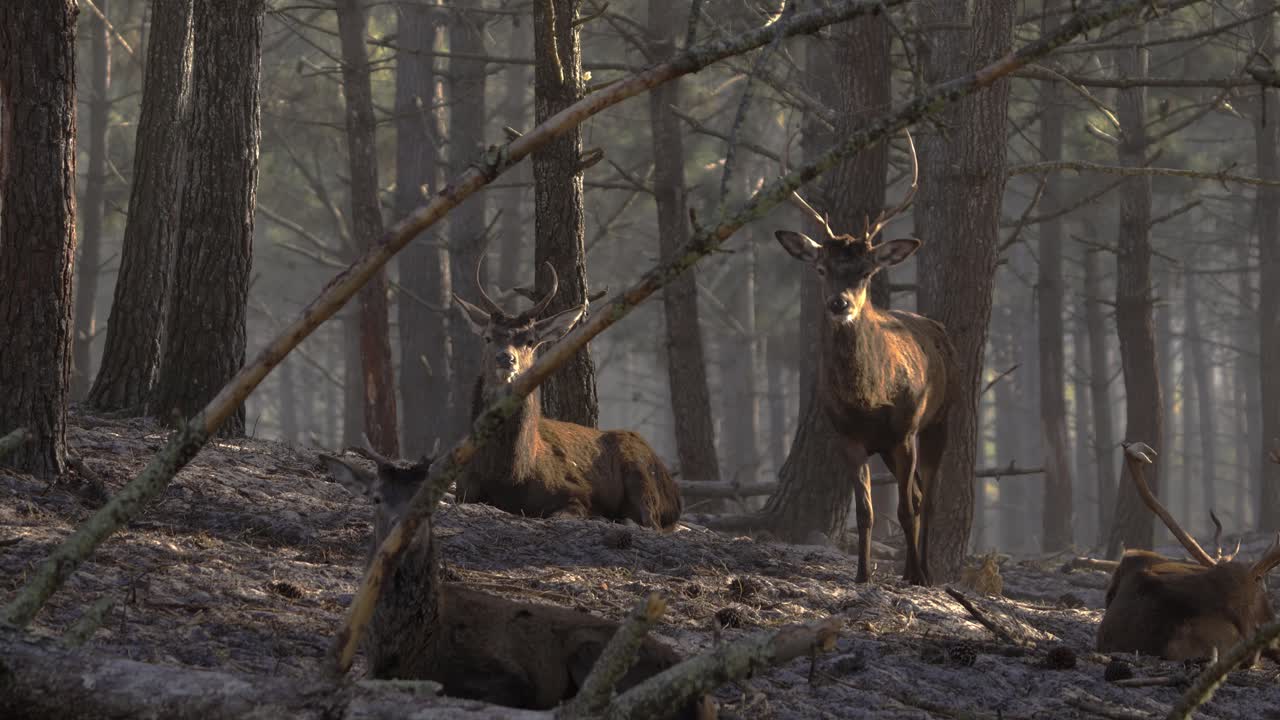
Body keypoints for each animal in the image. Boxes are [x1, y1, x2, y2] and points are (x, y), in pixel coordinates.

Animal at [451, 259, 683, 530]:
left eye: (530, 341)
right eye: (488, 337)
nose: (506, 359)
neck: (510, 474)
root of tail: (676, 494)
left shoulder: (576, 492)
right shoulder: (465, 490)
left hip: (642, 473)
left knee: (650, 522)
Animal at [773, 130, 954, 586]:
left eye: (867, 272)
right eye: (821, 268)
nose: (839, 303)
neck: (869, 398)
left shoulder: (905, 430)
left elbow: (905, 509)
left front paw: (917, 575)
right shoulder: (848, 437)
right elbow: (866, 511)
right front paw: (862, 574)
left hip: (941, 418)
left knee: (928, 496)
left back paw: (924, 569)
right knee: (918, 492)